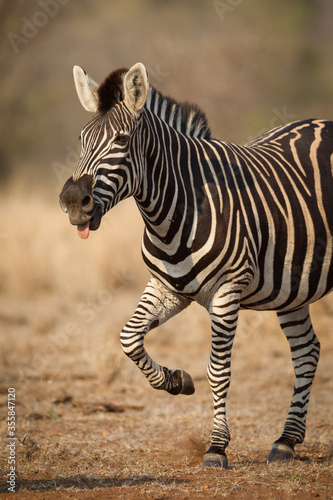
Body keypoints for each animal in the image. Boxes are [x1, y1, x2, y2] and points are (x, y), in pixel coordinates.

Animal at [59, 63, 332, 468]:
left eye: (121, 140)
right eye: (81, 139)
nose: (73, 200)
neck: (171, 212)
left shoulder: (227, 292)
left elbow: (218, 371)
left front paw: (217, 447)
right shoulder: (166, 287)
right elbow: (129, 338)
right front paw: (175, 381)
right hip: (292, 286)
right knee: (307, 352)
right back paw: (286, 441)